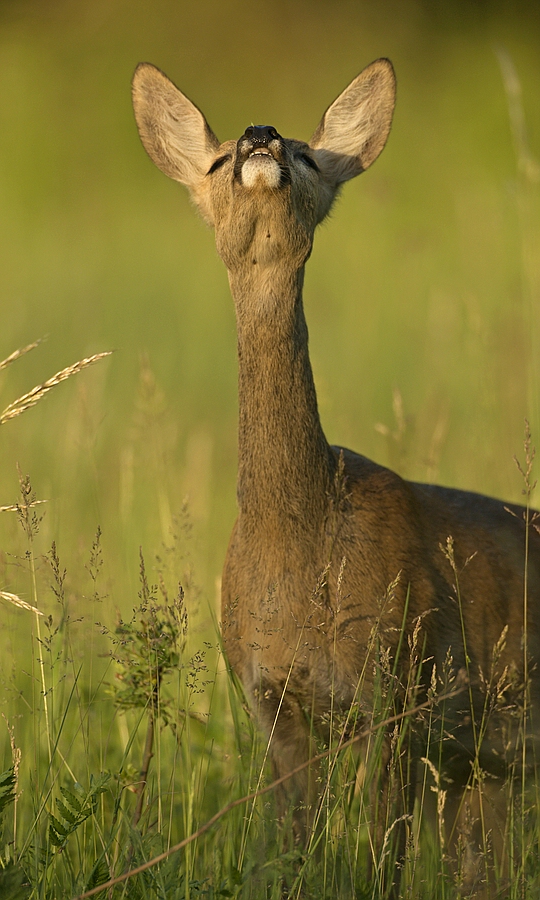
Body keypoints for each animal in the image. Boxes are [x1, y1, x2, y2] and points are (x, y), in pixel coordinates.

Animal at [133, 59, 540, 888]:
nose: (259, 135)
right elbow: (289, 856)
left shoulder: (400, 693)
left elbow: (384, 865)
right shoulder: (271, 705)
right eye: (216, 162)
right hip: (490, 768)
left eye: (307, 153)